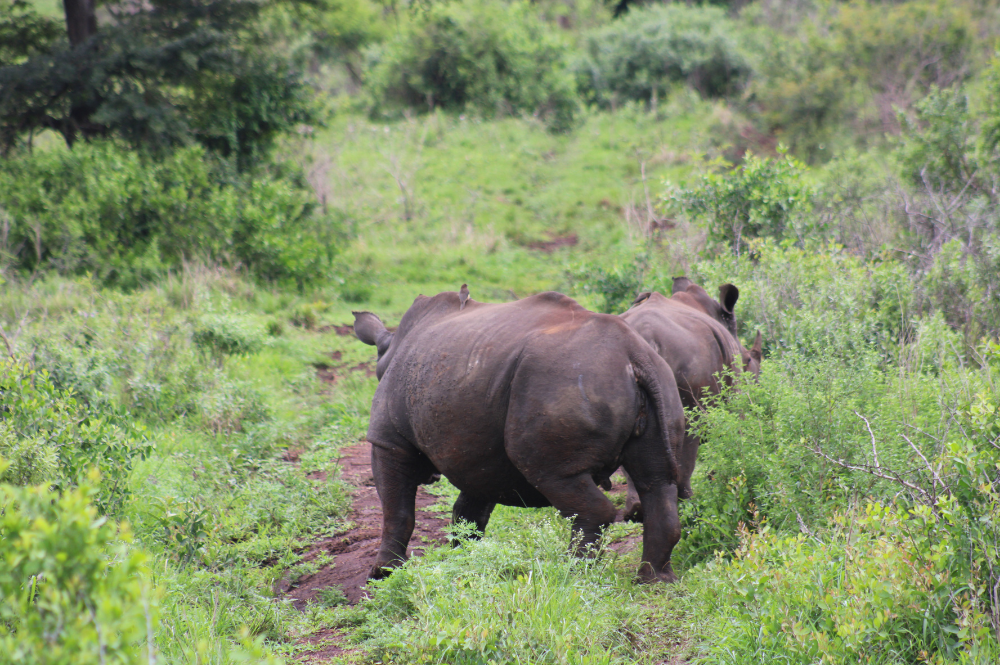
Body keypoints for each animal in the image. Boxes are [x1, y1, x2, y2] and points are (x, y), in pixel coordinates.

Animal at [356, 288, 692, 580]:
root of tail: (633, 356)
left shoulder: (388, 441)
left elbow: (397, 511)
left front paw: (382, 574)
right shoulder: (478, 453)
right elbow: (469, 513)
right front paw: (464, 561)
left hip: (564, 381)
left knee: (554, 474)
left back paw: (573, 575)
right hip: (660, 384)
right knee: (657, 481)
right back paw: (654, 579)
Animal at [616, 276, 764, 520]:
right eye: (749, 360)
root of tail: (647, 336)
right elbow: (733, 435)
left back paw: (637, 512)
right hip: (688, 355)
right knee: (689, 430)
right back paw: (690, 507)